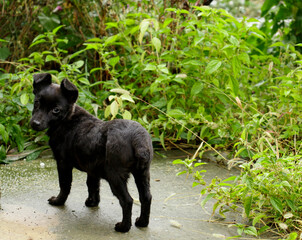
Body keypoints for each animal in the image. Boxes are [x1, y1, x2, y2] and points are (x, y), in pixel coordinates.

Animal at [30, 73, 153, 232]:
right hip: (142, 173)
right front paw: (92, 202)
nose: (35, 123)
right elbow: (92, 185)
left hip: (115, 175)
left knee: (127, 200)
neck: (67, 119)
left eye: (56, 110)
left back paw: (123, 227)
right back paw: (142, 222)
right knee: (146, 197)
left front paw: (58, 201)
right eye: (37, 102)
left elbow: (64, 185)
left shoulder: (63, 163)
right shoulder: (93, 169)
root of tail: (137, 139)